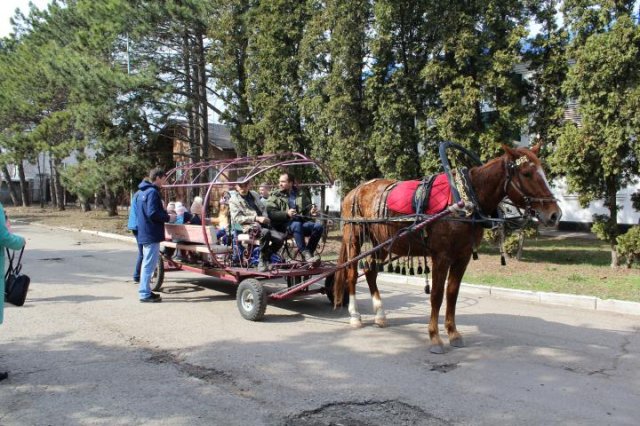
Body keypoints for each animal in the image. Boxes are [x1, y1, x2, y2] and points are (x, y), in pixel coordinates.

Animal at [332, 143, 564, 352]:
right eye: (526, 173)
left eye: (543, 172)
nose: (555, 214)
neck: (464, 200)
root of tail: (354, 191)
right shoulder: (441, 256)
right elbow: (436, 295)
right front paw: (434, 337)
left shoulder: (463, 256)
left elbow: (452, 293)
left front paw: (453, 333)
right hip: (354, 237)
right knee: (351, 272)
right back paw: (355, 316)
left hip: (382, 242)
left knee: (370, 271)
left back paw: (380, 315)